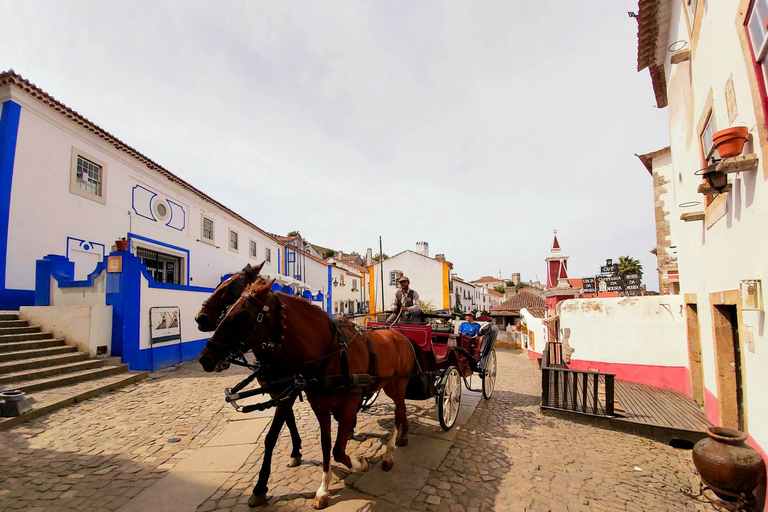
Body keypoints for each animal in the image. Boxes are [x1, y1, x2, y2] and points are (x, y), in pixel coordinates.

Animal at [194, 266, 304, 506]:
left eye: (229, 287)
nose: (200, 318)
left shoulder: (288, 393)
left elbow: (271, 437)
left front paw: (260, 487)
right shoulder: (280, 393)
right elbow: (289, 422)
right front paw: (296, 452)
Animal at [198, 282, 414, 510]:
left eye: (242, 315)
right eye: (226, 311)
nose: (205, 358)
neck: (330, 352)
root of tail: (398, 334)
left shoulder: (345, 405)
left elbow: (338, 451)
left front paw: (361, 464)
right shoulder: (317, 406)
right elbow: (326, 444)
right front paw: (323, 489)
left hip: (399, 384)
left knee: (399, 413)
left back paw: (390, 453)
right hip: (388, 385)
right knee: (401, 411)